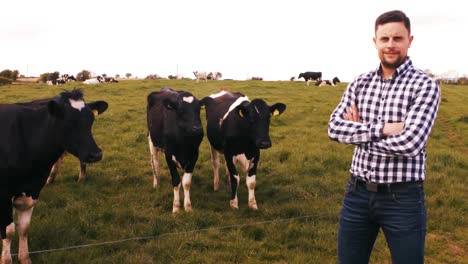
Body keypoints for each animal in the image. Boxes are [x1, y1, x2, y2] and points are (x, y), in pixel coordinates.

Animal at [0, 89, 108, 264]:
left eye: (91, 120)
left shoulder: (32, 190)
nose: (96, 154)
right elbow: (8, 232)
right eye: (68, 122)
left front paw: (25, 258)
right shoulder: (3, 195)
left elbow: (24, 228)